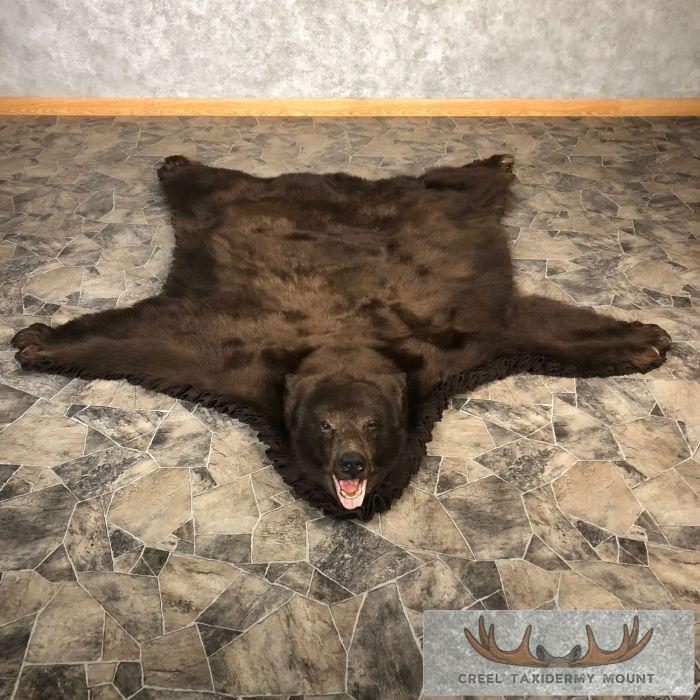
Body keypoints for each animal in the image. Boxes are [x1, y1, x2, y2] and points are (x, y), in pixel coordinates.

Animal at [11, 154, 671, 519]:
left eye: (374, 426)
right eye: (325, 426)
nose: (351, 463)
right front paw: (40, 340)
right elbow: (139, 338)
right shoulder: (228, 350)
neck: (346, 343)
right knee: (209, 185)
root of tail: (332, 182)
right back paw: (179, 164)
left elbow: (537, 327)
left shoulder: (459, 335)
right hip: (229, 206)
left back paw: (493, 164)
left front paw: (642, 337)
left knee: (456, 187)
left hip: (446, 212)